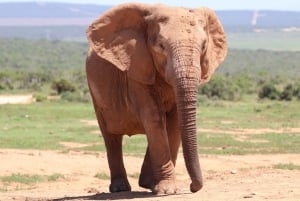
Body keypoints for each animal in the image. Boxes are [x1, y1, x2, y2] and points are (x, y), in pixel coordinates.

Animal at [85, 2, 226, 195]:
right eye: (161, 45)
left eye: (204, 46)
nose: (192, 187)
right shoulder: (136, 69)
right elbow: (153, 116)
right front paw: (167, 191)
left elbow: (173, 121)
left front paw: (158, 187)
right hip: (96, 95)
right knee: (111, 136)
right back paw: (120, 188)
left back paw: (146, 183)